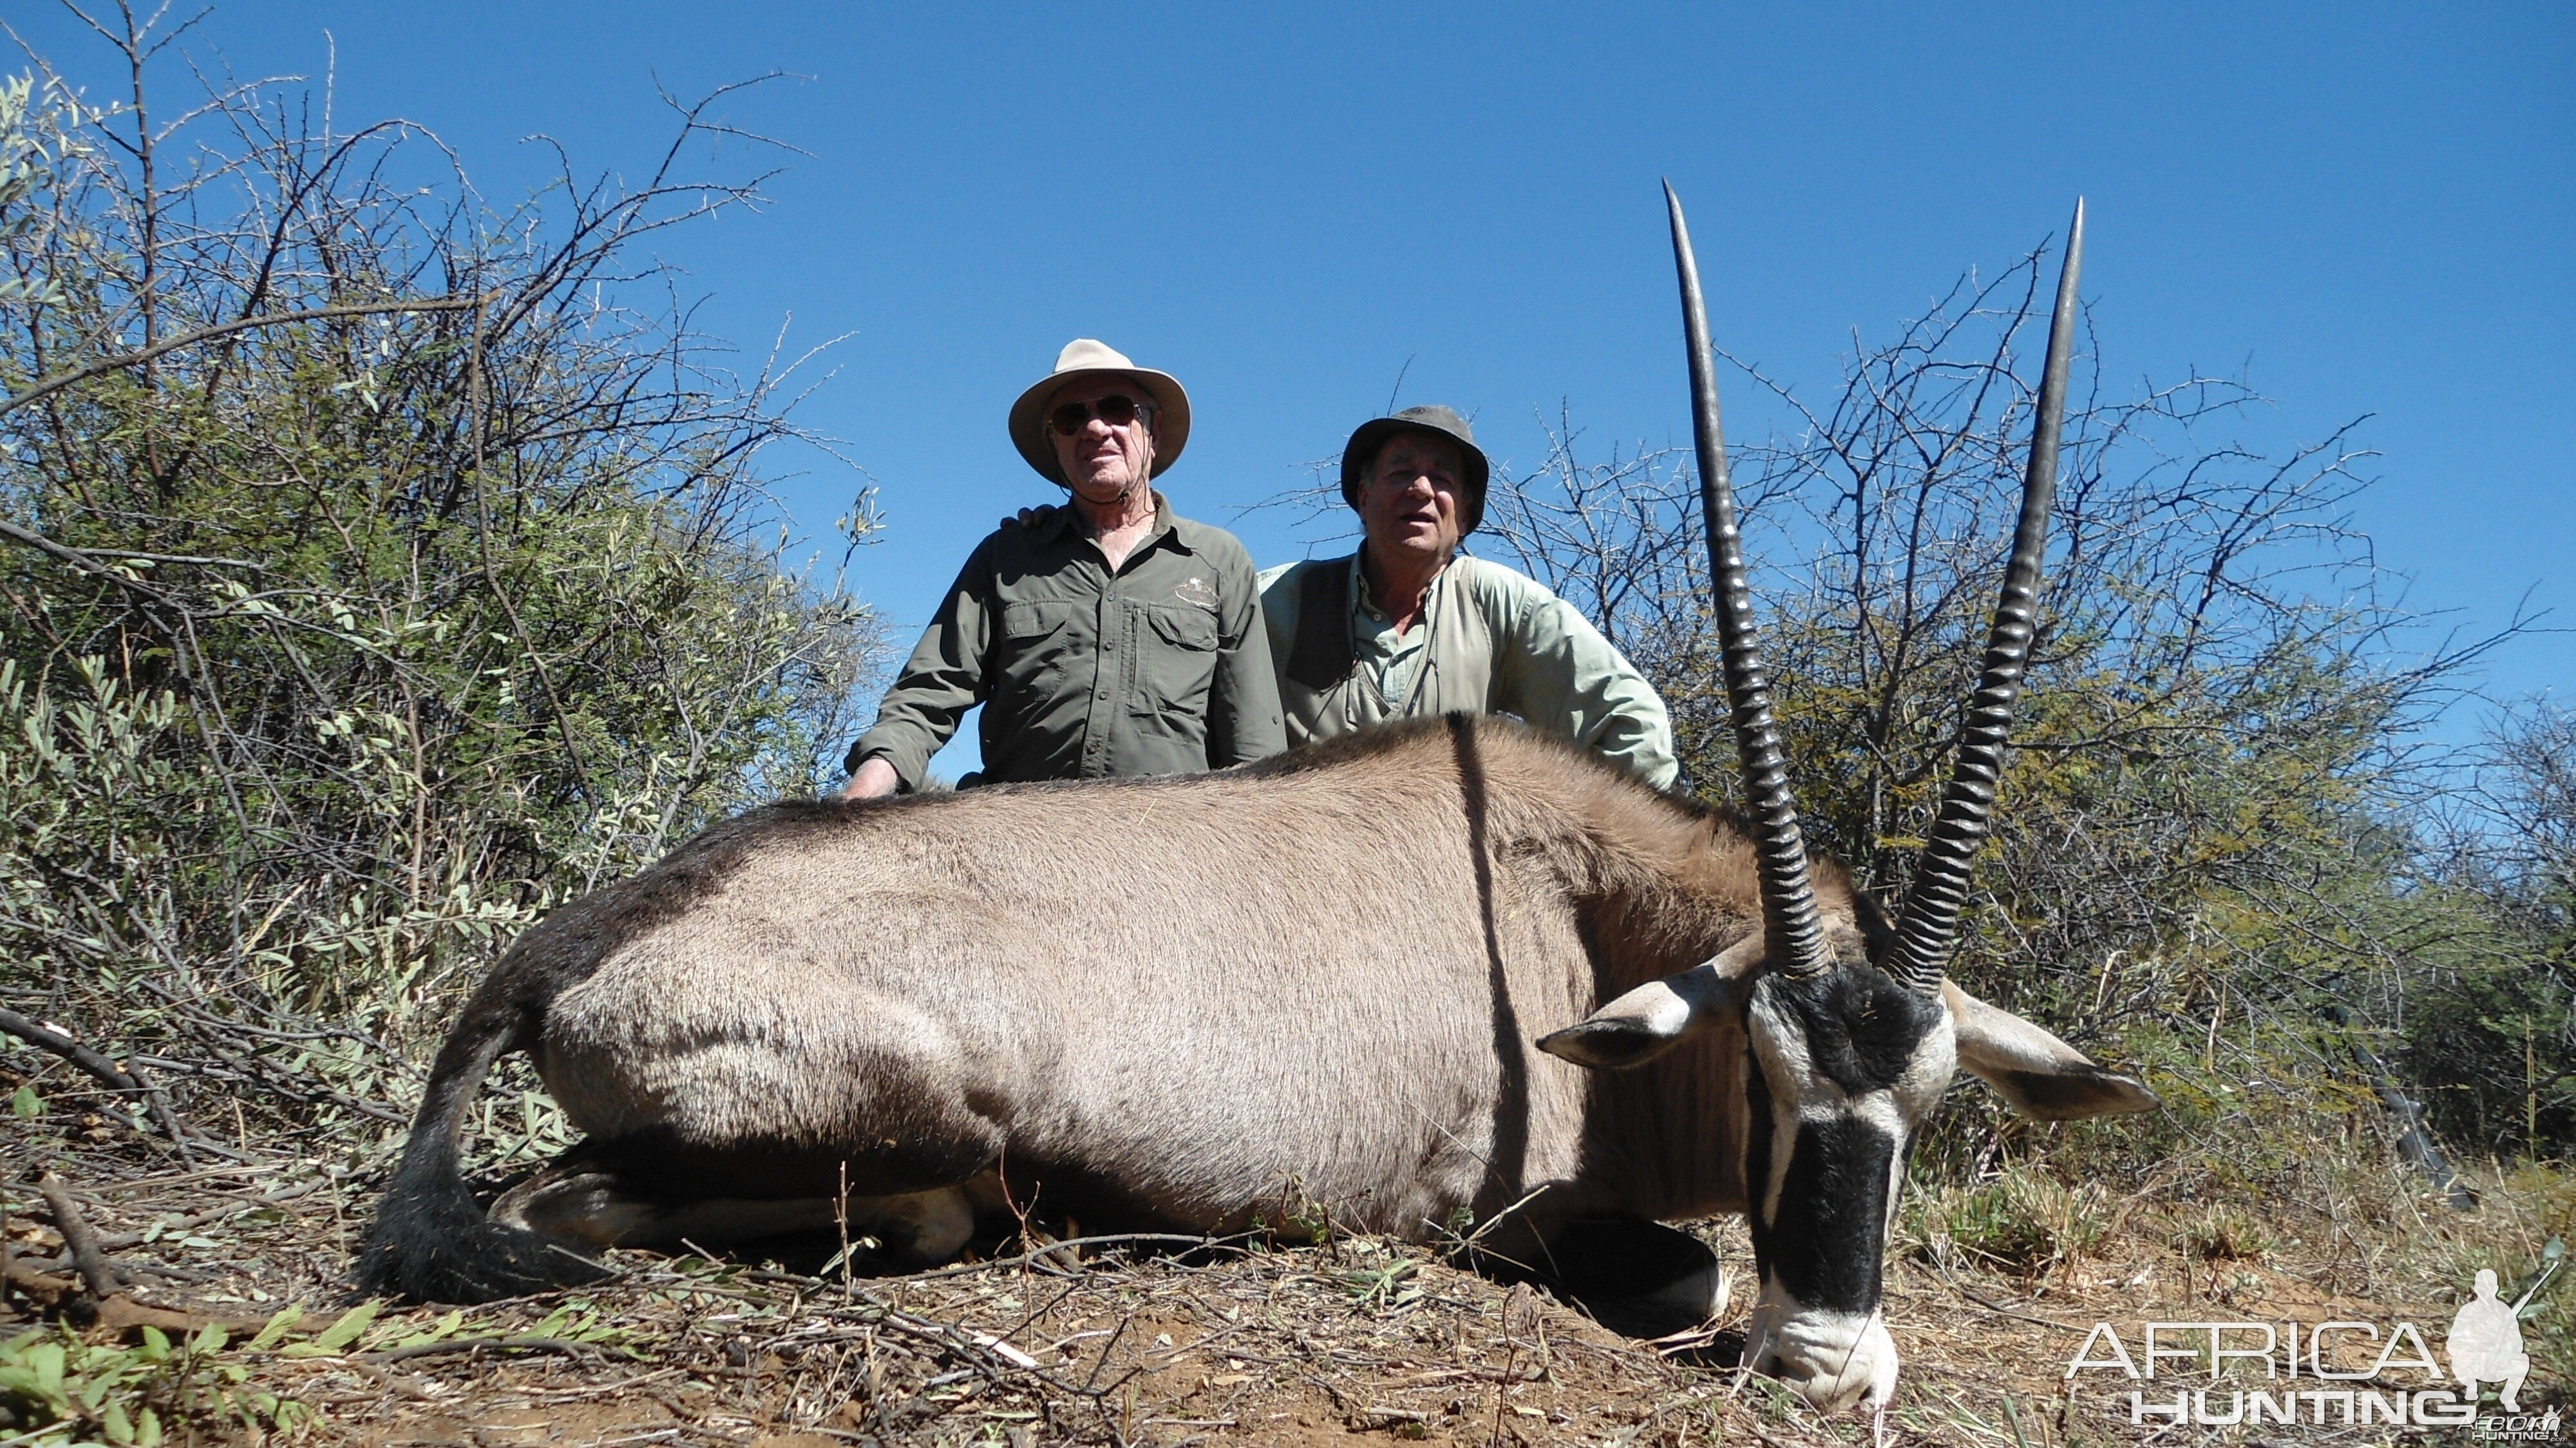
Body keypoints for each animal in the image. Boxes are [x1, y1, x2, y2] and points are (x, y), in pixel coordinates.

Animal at [353, 186, 2143, 1402]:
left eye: (1930, 1105)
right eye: (1765, 1082)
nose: (1825, 1360)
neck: (1567, 899)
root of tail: (564, 950)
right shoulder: (1494, 1215)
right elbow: (1684, 1277)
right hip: (919, 1110)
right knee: (626, 1198)